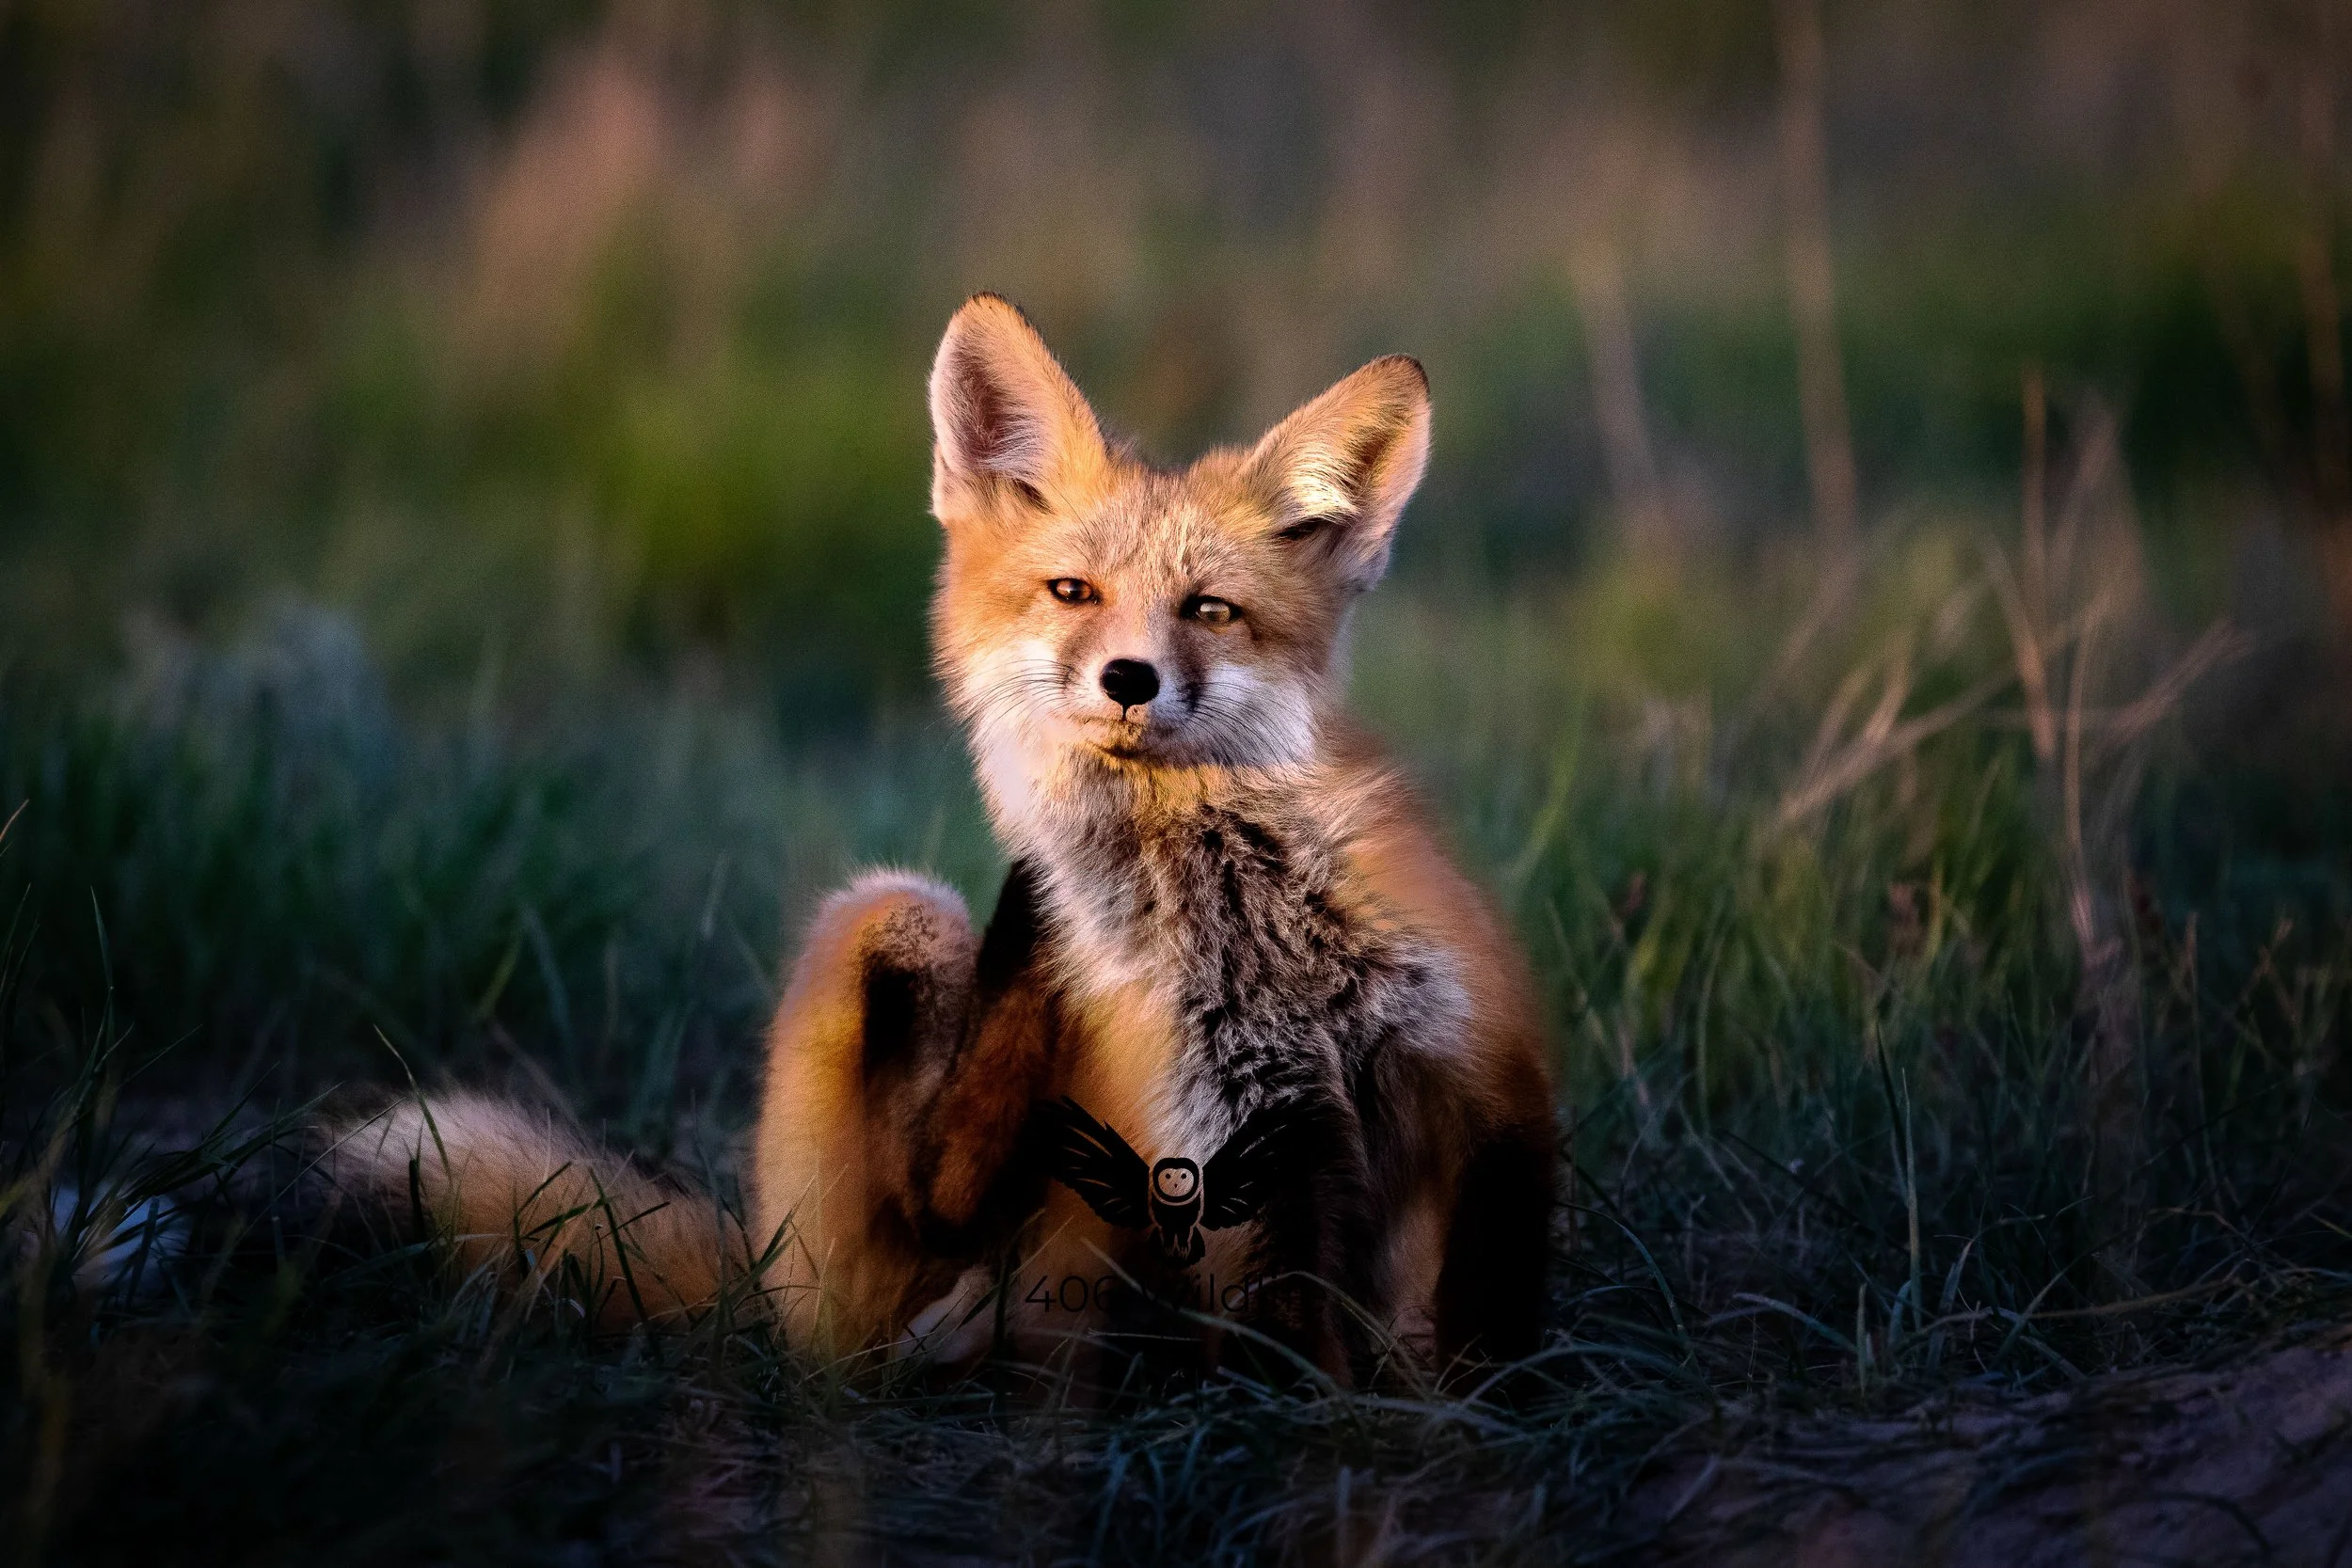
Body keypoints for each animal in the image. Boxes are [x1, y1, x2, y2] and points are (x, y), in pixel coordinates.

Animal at [330, 294, 1556, 1382]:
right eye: (1072, 592)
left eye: (1209, 610)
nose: (1128, 678)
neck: (1256, 928)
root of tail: (757, 1262)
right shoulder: (1238, 1150)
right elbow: (1301, 1367)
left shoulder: (1482, 1084)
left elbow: (1488, 1332)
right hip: (898, 924)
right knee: (917, 1234)